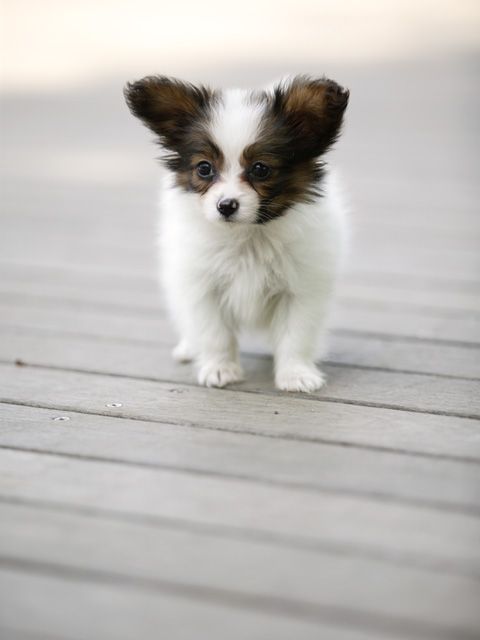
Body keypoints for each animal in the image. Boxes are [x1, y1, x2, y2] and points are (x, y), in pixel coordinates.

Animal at [124, 74, 348, 390]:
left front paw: (295, 374)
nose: (226, 206)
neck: (247, 236)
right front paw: (220, 369)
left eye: (261, 169)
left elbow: (296, 336)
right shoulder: (202, 288)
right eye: (204, 168)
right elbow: (214, 334)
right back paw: (189, 348)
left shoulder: (301, 290)